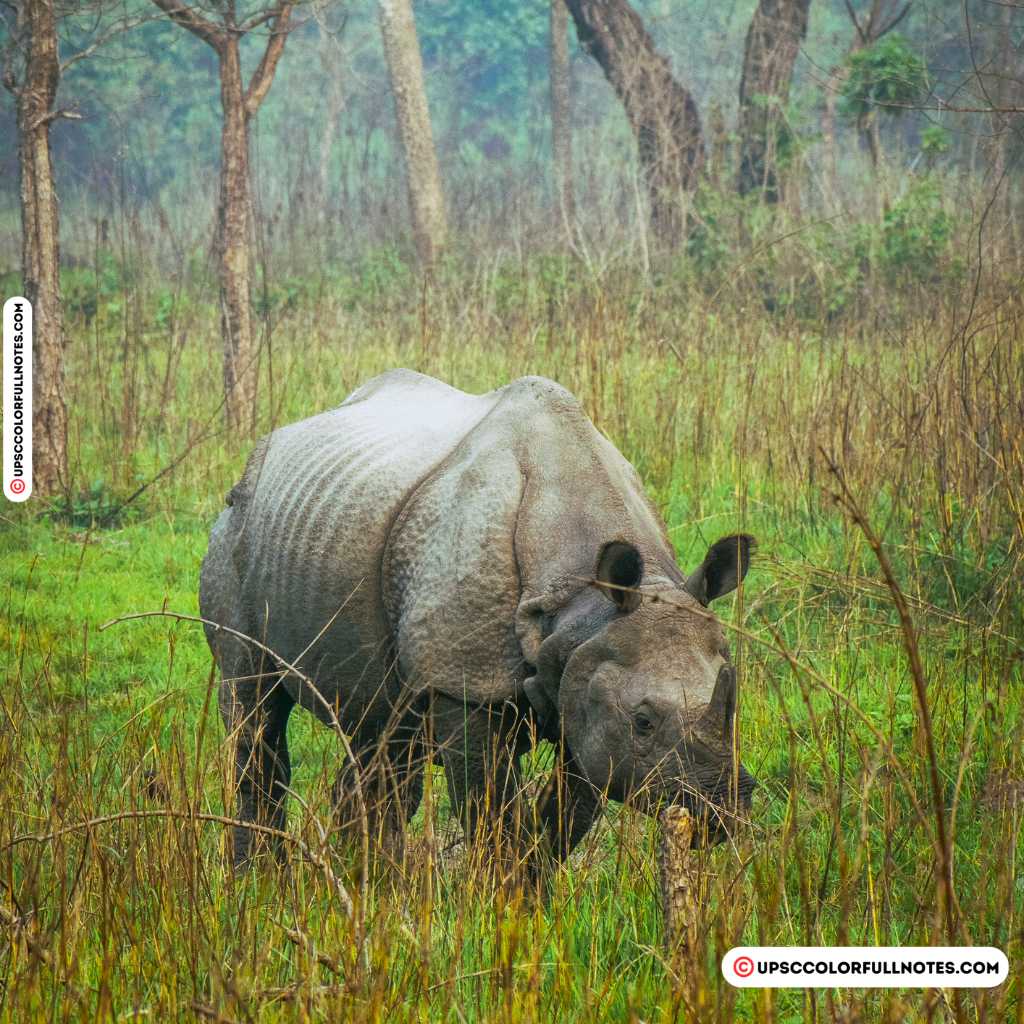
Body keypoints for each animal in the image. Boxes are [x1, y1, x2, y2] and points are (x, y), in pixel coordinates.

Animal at [200, 370, 755, 871]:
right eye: (642, 722)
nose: (720, 812)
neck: (581, 603)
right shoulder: (466, 681)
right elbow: (492, 813)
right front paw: (502, 899)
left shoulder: (582, 674)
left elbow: (566, 816)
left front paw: (532, 895)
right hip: (235, 527)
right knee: (254, 710)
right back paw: (260, 881)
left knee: (381, 733)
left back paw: (365, 884)